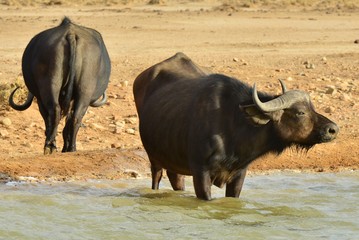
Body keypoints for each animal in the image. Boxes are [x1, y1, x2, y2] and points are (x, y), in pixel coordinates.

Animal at [9, 17, 110, 155]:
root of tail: (71, 34)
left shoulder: (40, 100)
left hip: (50, 87)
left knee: (55, 111)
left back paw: (51, 146)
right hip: (83, 91)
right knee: (75, 116)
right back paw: (70, 148)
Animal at [134, 53, 338, 201]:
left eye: (313, 108)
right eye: (300, 112)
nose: (333, 129)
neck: (234, 125)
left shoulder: (239, 174)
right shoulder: (200, 171)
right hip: (154, 159)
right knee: (156, 179)